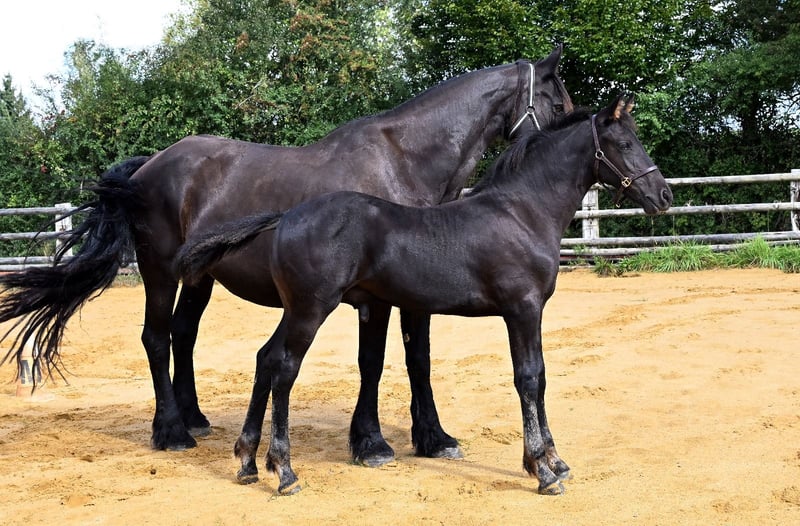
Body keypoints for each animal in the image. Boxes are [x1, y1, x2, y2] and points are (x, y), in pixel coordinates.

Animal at [0, 47, 573, 470]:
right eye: (562, 108)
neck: (403, 161)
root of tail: (149, 167)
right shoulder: (376, 298)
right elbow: (373, 362)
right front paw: (372, 443)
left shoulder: (416, 293)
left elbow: (418, 359)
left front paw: (433, 438)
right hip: (159, 272)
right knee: (156, 337)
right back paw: (171, 431)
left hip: (200, 278)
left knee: (183, 334)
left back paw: (194, 417)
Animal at [175, 96, 674, 495]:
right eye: (625, 144)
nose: (664, 195)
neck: (521, 212)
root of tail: (287, 216)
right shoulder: (522, 309)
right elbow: (529, 378)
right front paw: (542, 470)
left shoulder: (529, 313)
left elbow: (542, 377)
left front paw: (554, 460)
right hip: (310, 311)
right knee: (283, 369)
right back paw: (283, 471)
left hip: (297, 310)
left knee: (266, 359)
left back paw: (246, 461)